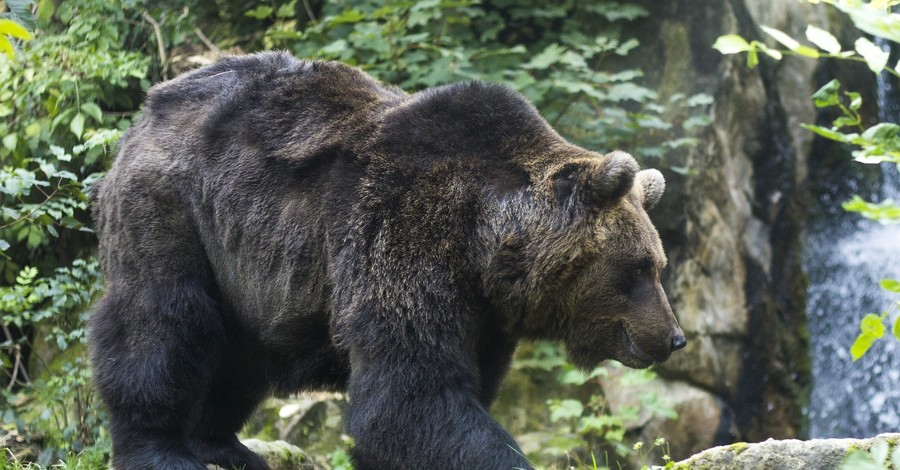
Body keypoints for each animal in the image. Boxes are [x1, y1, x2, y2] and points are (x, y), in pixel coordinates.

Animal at [89, 52, 684, 470]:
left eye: (658, 265)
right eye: (638, 268)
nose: (674, 337)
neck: (485, 245)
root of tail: (151, 105)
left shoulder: (483, 318)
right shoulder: (404, 238)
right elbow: (410, 395)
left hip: (243, 266)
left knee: (241, 351)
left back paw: (227, 446)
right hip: (177, 211)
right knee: (162, 321)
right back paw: (160, 448)